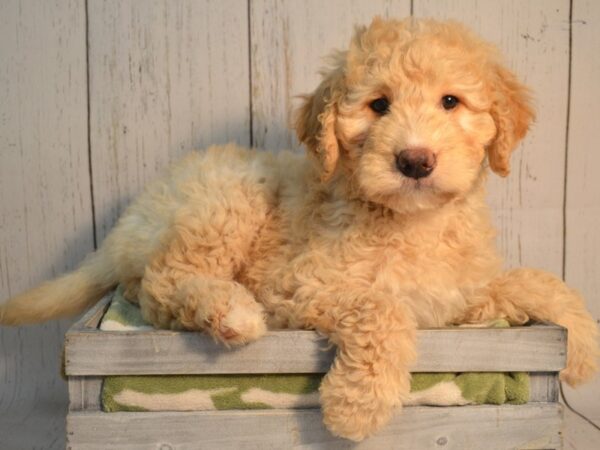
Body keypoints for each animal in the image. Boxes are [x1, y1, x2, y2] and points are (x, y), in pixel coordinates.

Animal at [0, 16, 596, 440]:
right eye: (378, 105)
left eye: (451, 101)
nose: (414, 160)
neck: (412, 220)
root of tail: (130, 217)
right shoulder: (298, 284)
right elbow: (381, 305)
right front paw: (358, 406)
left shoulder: (455, 298)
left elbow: (532, 281)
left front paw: (583, 346)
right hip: (229, 196)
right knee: (163, 284)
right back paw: (231, 311)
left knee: (140, 286)